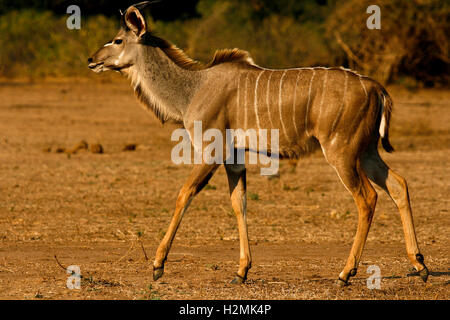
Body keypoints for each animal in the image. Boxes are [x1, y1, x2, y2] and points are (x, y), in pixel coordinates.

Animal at [88, 1, 428, 284]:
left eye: (117, 40)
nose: (92, 60)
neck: (193, 88)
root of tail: (377, 88)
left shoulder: (211, 152)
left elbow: (184, 194)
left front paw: (158, 266)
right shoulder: (235, 157)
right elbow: (239, 203)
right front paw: (241, 271)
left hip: (341, 152)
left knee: (367, 198)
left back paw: (346, 273)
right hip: (367, 151)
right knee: (398, 184)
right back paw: (420, 264)